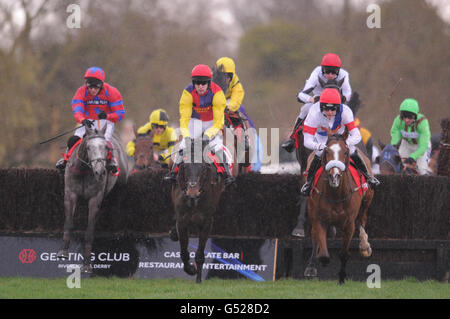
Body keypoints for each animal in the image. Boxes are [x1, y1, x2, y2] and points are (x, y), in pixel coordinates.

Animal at [57, 124, 128, 274]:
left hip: (121, 185)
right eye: (89, 147)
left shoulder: (95, 198)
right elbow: (69, 223)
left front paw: (87, 265)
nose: (100, 171)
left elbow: (89, 231)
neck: (84, 169)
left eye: (106, 147)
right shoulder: (70, 193)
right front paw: (63, 252)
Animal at [173, 139, 227, 284]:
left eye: (202, 168)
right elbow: (184, 252)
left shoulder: (207, 222)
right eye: (185, 167)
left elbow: (200, 253)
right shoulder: (182, 220)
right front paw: (191, 269)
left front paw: (198, 278)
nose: (193, 192)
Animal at [304, 132, 374, 284]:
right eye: (326, 151)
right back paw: (311, 266)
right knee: (313, 234)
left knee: (362, 219)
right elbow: (324, 254)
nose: (334, 175)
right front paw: (321, 259)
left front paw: (342, 277)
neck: (336, 194)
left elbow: (344, 253)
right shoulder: (319, 219)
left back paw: (364, 246)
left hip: (368, 197)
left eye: (345, 152)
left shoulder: (348, 223)